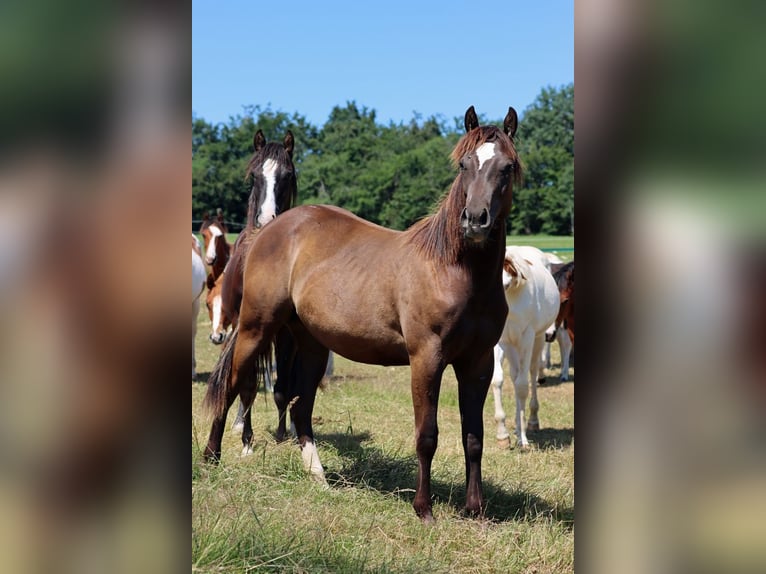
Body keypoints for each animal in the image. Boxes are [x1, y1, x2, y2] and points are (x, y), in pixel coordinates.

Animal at [203, 106, 522, 522]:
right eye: (464, 164)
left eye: (506, 167)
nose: (475, 220)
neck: (453, 269)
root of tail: (269, 229)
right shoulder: (427, 359)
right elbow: (427, 436)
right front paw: (424, 509)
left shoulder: (478, 363)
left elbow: (474, 437)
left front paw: (476, 510)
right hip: (256, 328)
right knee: (232, 385)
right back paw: (211, 458)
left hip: (311, 344)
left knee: (300, 408)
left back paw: (319, 477)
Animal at [491, 245, 560, 449]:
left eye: (505, 285)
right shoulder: (500, 342)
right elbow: (497, 380)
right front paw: (503, 434)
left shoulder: (527, 338)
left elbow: (522, 386)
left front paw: (522, 438)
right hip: (512, 347)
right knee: (514, 376)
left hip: (537, 339)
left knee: (532, 372)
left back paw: (532, 422)